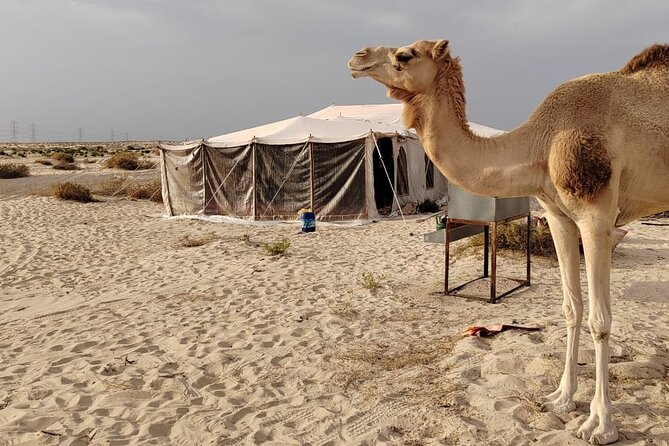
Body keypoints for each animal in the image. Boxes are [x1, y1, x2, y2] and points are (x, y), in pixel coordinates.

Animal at [348, 40, 668, 444]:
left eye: (406, 55)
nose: (357, 56)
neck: (544, 143)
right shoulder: (559, 216)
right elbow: (571, 308)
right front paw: (561, 399)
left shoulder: (597, 217)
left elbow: (600, 319)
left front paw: (600, 424)